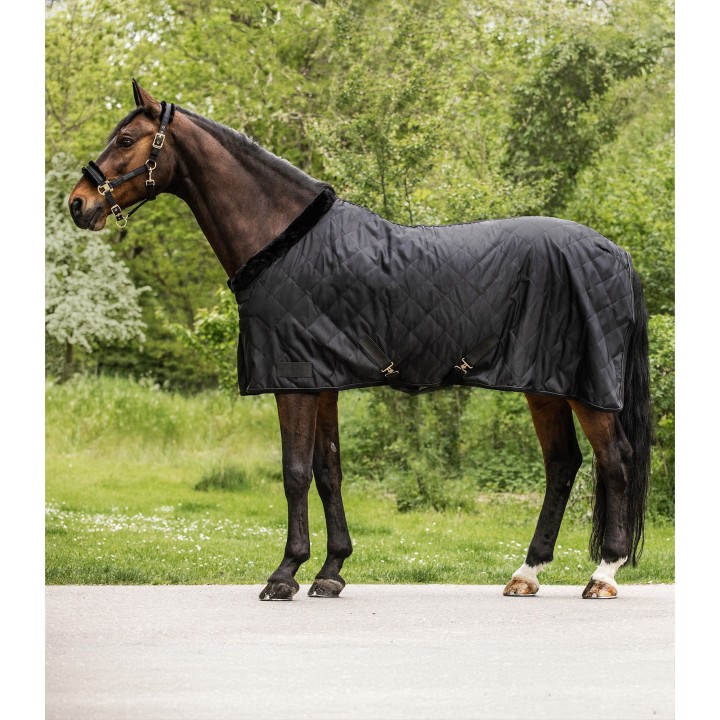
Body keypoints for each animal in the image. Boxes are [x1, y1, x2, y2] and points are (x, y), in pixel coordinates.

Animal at [68, 80, 651, 601]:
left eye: (126, 139)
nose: (77, 203)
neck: (284, 241)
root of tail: (616, 253)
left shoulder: (296, 381)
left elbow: (295, 473)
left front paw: (285, 574)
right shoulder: (323, 380)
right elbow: (329, 472)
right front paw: (331, 571)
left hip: (587, 389)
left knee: (615, 461)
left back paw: (604, 574)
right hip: (544, 385)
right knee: (563, 465)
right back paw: (526, 574)